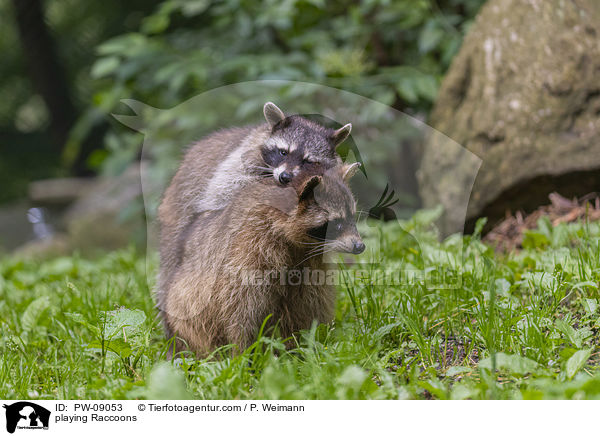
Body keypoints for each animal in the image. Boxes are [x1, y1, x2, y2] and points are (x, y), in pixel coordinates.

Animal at [159, 162, 364, 356]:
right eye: (336, 224)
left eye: (352, 217)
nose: (360, 246)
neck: (297, 244)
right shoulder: (249, 249)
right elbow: (241, 308)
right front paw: (244, 352)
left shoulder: (310, 262)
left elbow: (311, 302)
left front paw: (309, 341)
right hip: (185, 304)